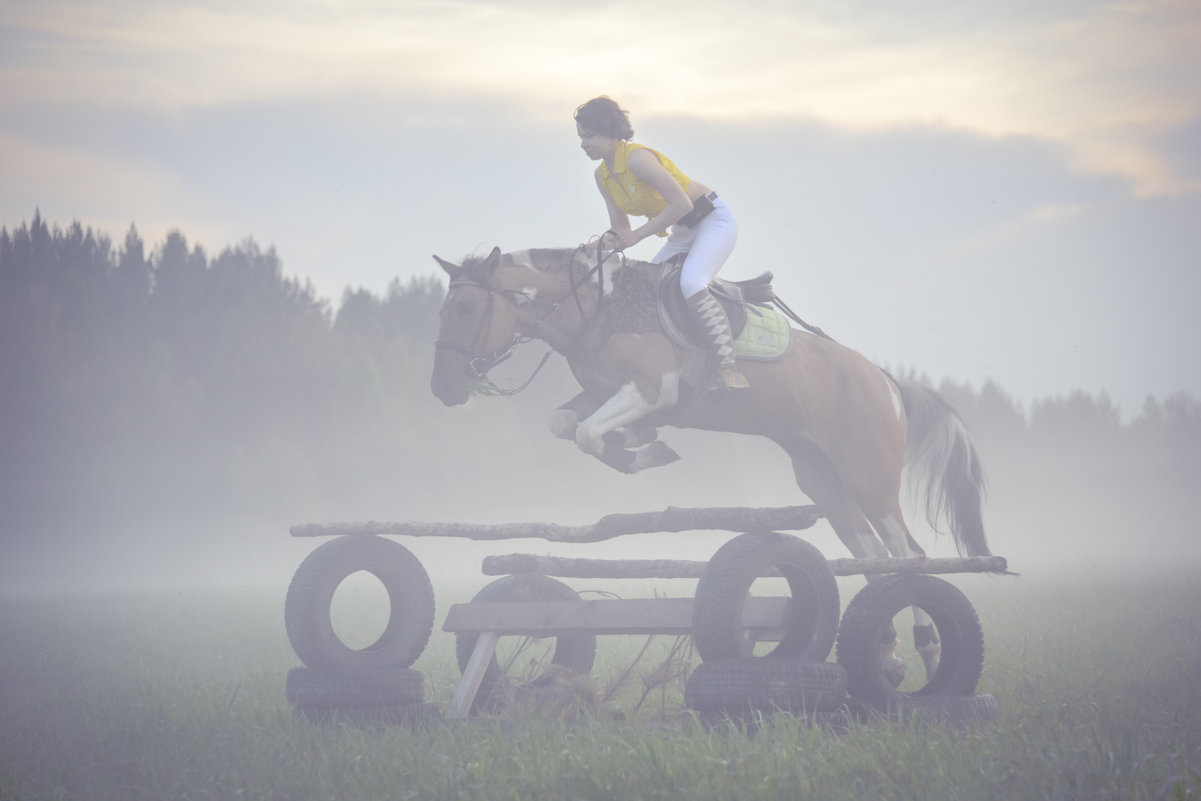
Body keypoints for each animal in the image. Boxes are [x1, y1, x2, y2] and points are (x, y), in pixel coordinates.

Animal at [427, 246, 989, 682]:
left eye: (468, 307)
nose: (443, 389)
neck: (595, 310)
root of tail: (886, 381)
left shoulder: (650, 388)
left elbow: (588, 432)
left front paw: (645, 448)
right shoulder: (602, 392)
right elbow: (567, 425)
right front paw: (639, 443)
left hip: (868, 474)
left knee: (907, 554)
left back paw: (928, 648)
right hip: (824, 483)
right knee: (871, 556)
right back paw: (888, 654)